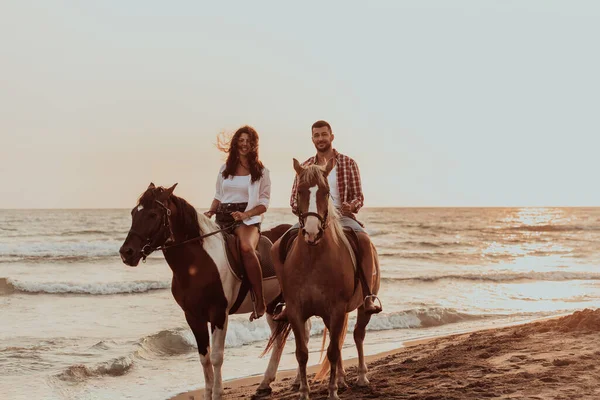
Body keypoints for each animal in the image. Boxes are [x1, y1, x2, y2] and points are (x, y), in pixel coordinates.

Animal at [118, 183, 290, 398]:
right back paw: (266, 384)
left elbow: (216, 356)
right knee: (283, 337)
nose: (127, 252)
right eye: (134, 212)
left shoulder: (218, 314)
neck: (197, 265)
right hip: (273, 305)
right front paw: (208, 393)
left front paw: (217, 393)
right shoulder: (193, 316)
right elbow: (204, 358)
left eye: (153, 214)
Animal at [270, 159, 382, 400]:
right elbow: (302, 353)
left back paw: (361, 377)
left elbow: (332, 351)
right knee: (337, 340)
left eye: (326, 192)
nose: (312, 232)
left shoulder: (337, 309)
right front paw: (304, 392)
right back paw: (340, 378)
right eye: (300, 191)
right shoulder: (296, 311)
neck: (313, 259)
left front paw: (332, 392)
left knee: (357, 336)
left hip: (361, 308)